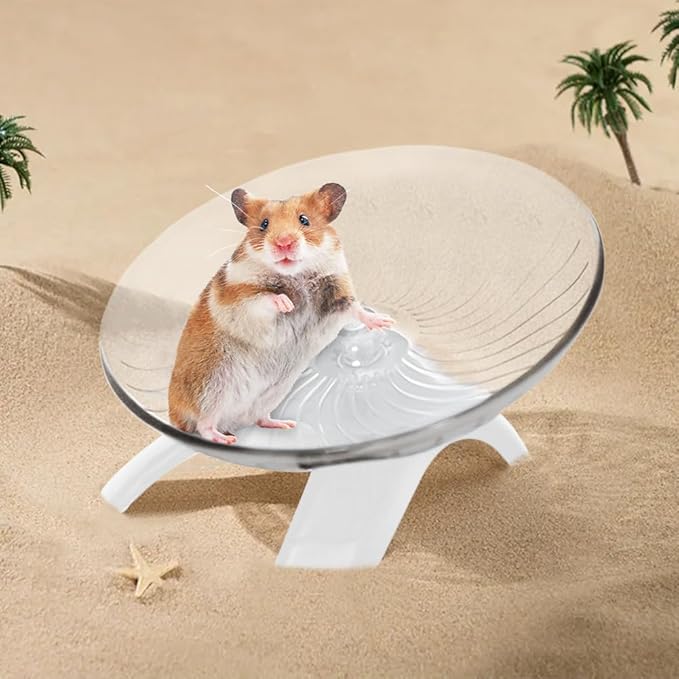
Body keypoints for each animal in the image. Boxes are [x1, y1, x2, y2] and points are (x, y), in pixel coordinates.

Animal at [168, 182, 393, 445]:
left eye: (304, 220)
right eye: (264, 224)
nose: (284, 243)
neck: (295, 274)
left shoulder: (337, 293)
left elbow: (355, 309)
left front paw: (385, 322)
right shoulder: (239, 297)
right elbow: (265, 298)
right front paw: (287, 304)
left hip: (271, 394)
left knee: (259, 418)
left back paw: (285, 424)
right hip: (211, 387)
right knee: (204, 425)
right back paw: (226, 439)